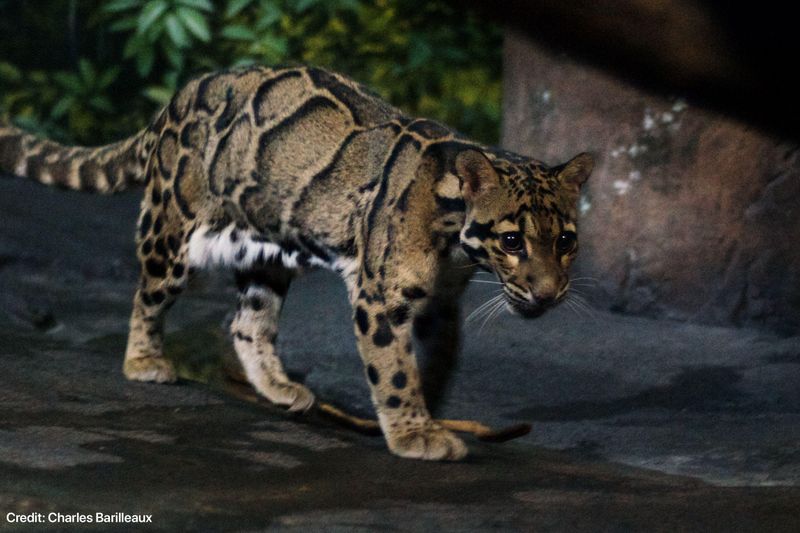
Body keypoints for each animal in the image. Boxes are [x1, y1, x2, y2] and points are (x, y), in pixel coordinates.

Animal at [0, 65, 588, 458]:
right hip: (173, 229)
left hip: (264, 252)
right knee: (148, 295)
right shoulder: (380, 297)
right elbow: (394, 368)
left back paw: (278, 386)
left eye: (566, 241)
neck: (453, 242)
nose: (548, 293)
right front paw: (412, 431)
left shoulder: (441, 303)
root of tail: (180, 96)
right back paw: (144, 360)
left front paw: (429, 414)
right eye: (511, 241)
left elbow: (435, 362)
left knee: (246, 322)